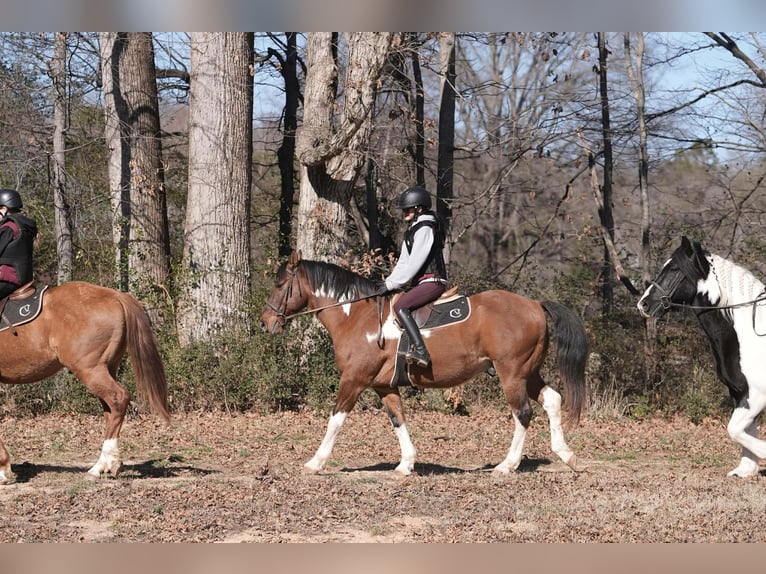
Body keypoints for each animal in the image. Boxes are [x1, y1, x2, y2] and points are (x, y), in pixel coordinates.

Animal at [0, 281, 170, 485]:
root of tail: (116, 295)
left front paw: (3, 470)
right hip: (106, 368)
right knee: (110, 409)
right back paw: (108, 464)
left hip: (90, 370)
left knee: (119, 399)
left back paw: (101, 466)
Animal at [260, 250, 587, 476]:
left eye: (279, 283)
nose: (265, 323)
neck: (356, 317)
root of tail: (534, 305)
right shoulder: (383, 387)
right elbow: (398, 420)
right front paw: (406, 464)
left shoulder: (353, 380)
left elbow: (336, 420)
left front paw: (315, 462)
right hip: (527, 373)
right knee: (552, 400)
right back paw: (566, 454)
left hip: (512, 374)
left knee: (523, 413)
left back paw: (507, 465)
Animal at [638, 236, 766, 477]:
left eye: (674, 269)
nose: (643, 304)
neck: (749, 333)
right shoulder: (740, 392)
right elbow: (744, 430)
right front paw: (745, 470)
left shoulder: (757, 395)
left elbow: (734, 429)